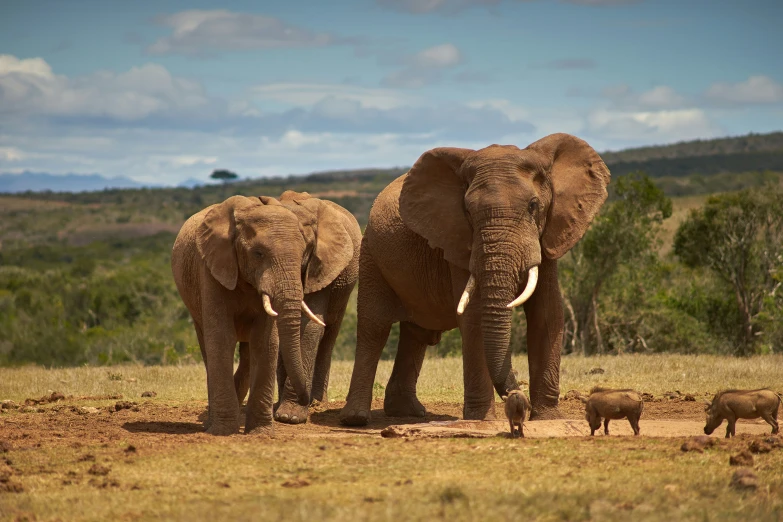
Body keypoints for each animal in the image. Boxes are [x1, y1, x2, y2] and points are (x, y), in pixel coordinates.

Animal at [172, 189, 362, 432]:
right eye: (258, 254)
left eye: (306, 251)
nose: (304, 398)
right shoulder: (213, 268)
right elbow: (223, 334)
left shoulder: (321, 268)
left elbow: (304, 328)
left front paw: (289, 417)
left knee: (328, 335)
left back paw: (314, 403)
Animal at [340, 132, 608, 424]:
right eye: (468, 211)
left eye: (533, 206)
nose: (517, 399)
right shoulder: (457, 241)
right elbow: (474, 315)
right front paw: (483, 420)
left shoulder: (548, 235)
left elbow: (547, 313)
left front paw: (549, 418)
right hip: (370, 253)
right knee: (374, 328)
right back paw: (356, 419)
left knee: (416, 333)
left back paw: (408, 413)